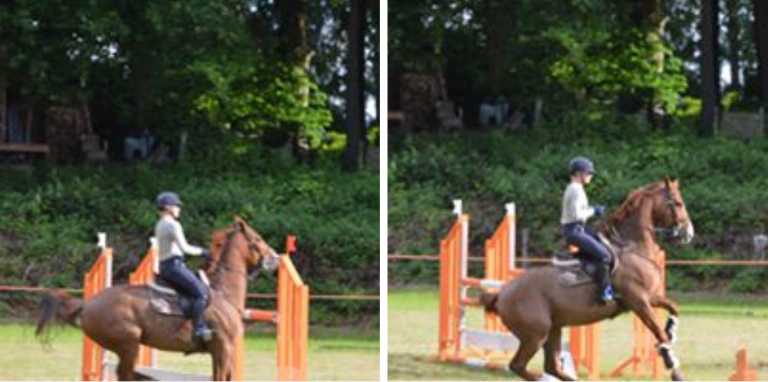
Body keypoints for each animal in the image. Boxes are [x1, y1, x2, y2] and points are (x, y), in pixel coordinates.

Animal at [36, 216, 280, 380]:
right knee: (125, 374)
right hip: (129, 345)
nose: (276, 259)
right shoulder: (222, 348)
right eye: (258, 239)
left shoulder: (220, 351)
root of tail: (88, 304)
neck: (223, 294)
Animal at [486, 179, 696, 382]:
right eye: (678, 203)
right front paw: (672, 364)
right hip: (536, 336)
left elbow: (673, 307)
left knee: (552, 366)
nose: (689, 232)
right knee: (519, 366)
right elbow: (658, 331)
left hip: (553, 330)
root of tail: (502, 294)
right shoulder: (639, 302)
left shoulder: (649, 297)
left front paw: (671, 330)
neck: (633, 248)